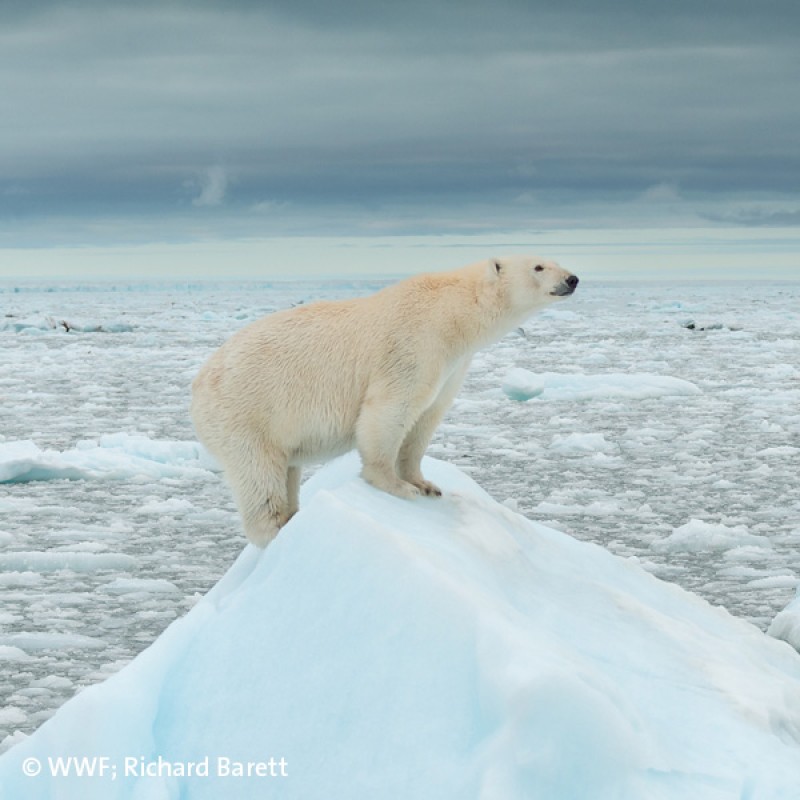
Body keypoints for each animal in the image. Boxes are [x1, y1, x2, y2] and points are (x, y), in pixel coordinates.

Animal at [194, 256, 580, 544]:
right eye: (538, 267)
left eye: (555, 260)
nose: (573, 279)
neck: (453, 313)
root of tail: (198, 386)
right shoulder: (413, 344)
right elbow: (391, 408)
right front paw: (396, 485)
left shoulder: (452, 366)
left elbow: (425, 419)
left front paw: (425, 484)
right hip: (247, 416)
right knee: (259, 476)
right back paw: (277, 528)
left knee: (287, 469)